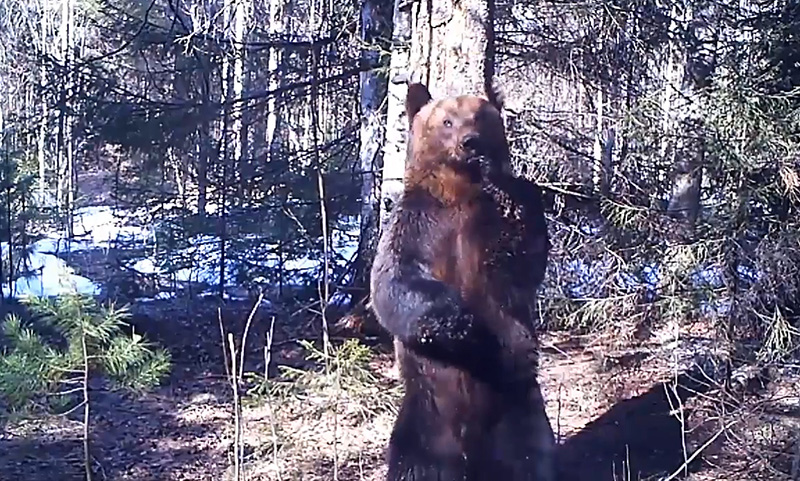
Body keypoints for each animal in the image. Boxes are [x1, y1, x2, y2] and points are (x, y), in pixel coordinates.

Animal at [370, 83, 552, 480]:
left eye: (480, 116)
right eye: (447, 121)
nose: (471, 142)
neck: (459, 194)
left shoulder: (498, 219)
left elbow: (526, 257)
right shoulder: (417, 225)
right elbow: (393, 281)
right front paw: (456, 318)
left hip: (519, 407)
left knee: (530, 455)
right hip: (425, 420)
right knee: (412, 462)